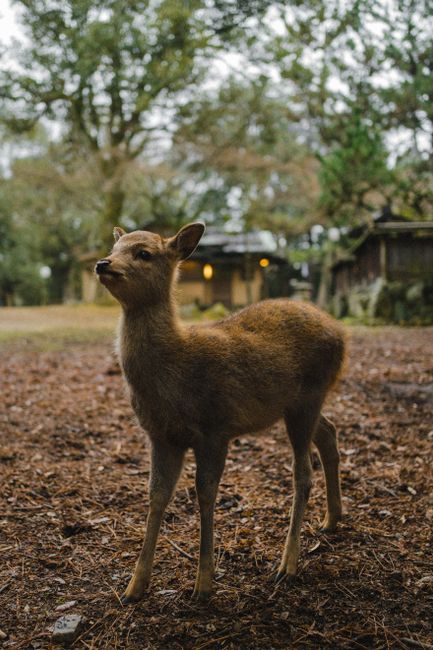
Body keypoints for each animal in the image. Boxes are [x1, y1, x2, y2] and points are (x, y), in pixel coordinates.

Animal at [95, 222, 346, 604]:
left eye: (144, 253)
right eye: (115, 247)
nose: (103, 263)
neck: (173, 374)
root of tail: (343, 335)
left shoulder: (214, 428)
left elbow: (205, 493)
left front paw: (203, 584)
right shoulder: (160, 435)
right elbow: (157, 495)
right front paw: (134, 587)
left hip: (308, 398)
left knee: (303, 473)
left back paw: (286, 565)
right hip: (299, 405)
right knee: (329, 432)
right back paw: (332, 520)